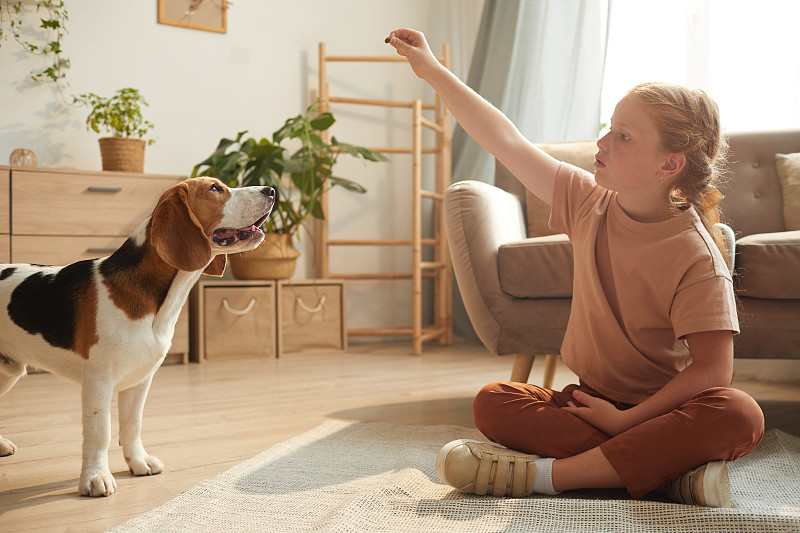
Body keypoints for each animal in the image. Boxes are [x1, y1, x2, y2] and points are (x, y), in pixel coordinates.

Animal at [0, 178, 276, 494]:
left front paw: (138, 462)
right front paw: (95, 477)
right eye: (215, 189)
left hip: (7, 372)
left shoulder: (140, 379)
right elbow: (100, 432)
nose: (271, 191)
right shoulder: (98, 380)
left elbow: (132, 425)